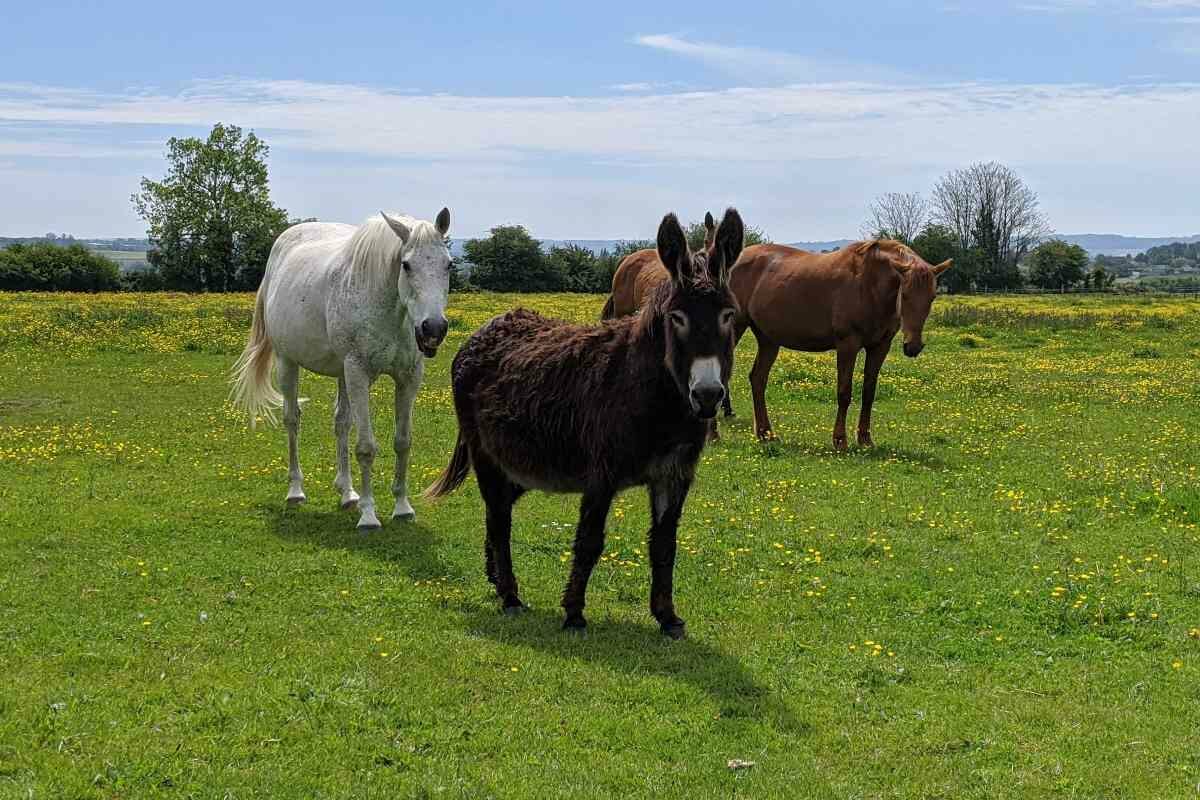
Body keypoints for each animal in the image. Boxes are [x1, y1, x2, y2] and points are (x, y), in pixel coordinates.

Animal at [231, 209, 451, 527]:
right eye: (406, 265)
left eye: (449, 264)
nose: (433, 329)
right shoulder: (358, 372)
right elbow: (366, 447)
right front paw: (369, 515)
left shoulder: (408, 378)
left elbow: (402, 441)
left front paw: (402, 507)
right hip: (289, 363)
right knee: (292, 420)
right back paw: (296, 491)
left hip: (343, 375)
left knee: (342, 423)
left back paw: (348, 493)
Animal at [422, 211, 739, 638]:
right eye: (678, 318)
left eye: (728, 315)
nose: (707, 397)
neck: (659, 401)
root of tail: (483, 330)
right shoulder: (601, 474)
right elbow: (589, 541)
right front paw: (573, 613)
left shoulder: (674, 475)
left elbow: (664, 544)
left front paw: (667, 617)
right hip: (485, 453)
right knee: (499, 518)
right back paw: (510, 595)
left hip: (518, 463)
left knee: (497, 511)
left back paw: (495, 578)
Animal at [724, 237, 950, 450]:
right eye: (905, 294)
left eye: (932, 297)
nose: (913, 346)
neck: (868, 283)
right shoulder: (847, 345)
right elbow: (844, 393)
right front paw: (840, 440)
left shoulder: (879, 347)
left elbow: (869, 393)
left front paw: (865, 439)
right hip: (735, 328)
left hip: (768, 340)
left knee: (758, 379)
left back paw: (765, 434)